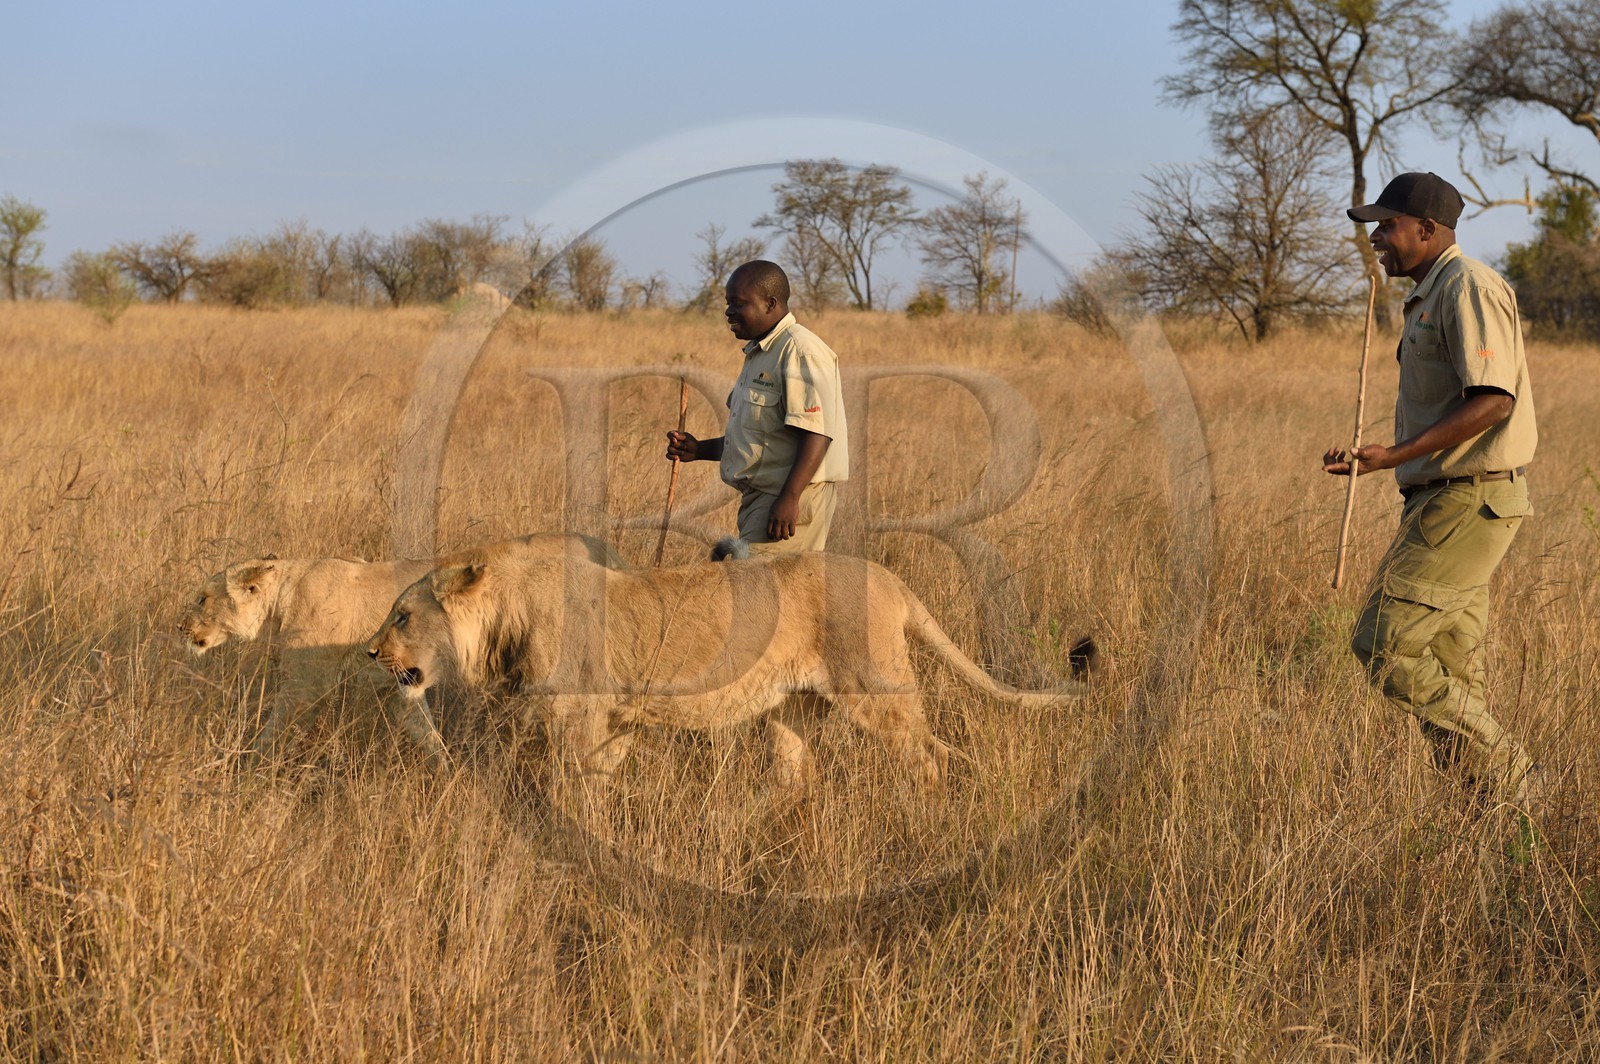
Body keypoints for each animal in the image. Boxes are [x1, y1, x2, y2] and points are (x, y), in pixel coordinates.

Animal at [179, 532, 627, 760]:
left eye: (201, 598)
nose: (180, 627)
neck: (282, 598)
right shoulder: (399, 687)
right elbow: (424, 732)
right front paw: (447, 774)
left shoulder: (306, 686)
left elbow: (273, 732)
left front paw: (242, 768)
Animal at [366, 539, 1093, 813]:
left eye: (402, 615)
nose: (370, 653)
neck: (505, 617)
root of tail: (890, 579)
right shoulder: (614, 718)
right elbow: (598, 778)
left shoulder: (580, 713)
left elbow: (569, 784)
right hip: (794, 710)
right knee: (805, 772)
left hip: (876, 691)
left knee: (930, 755)